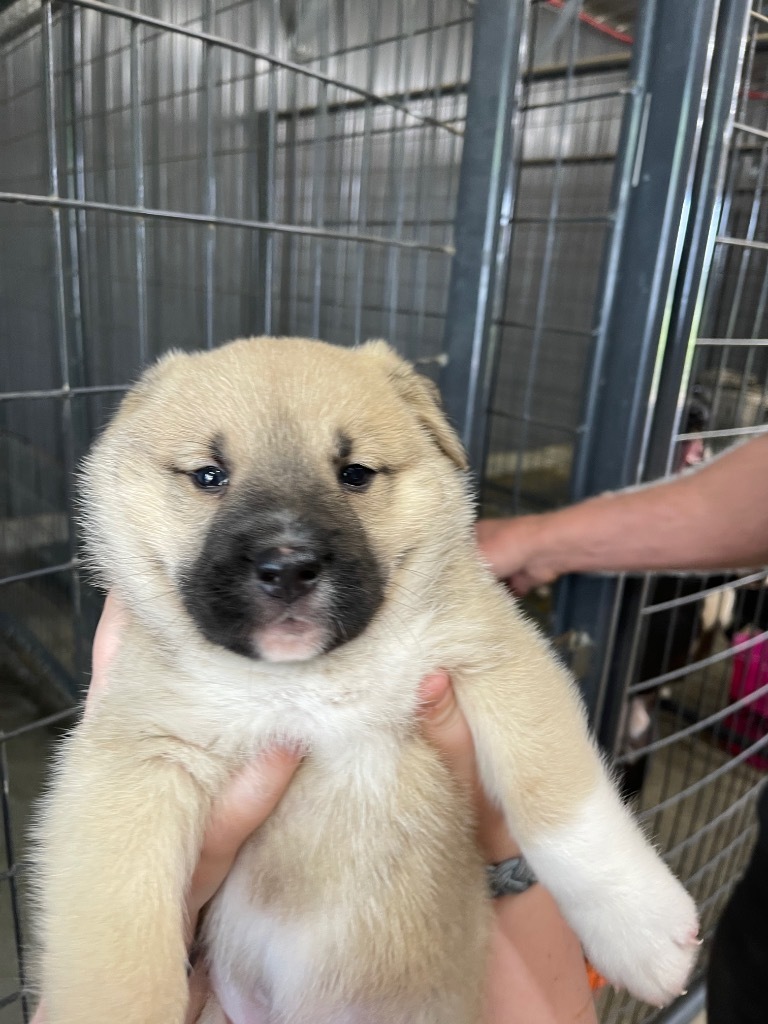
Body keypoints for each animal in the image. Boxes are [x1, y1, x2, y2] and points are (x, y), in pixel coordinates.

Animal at [34, 339, 696, 1024]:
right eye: (209, 475)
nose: (289, 567)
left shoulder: (494, 657)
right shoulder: (134, 763)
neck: (304, 682)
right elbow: (121, 957)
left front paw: (643, 930)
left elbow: (563, 807)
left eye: (355, 473)